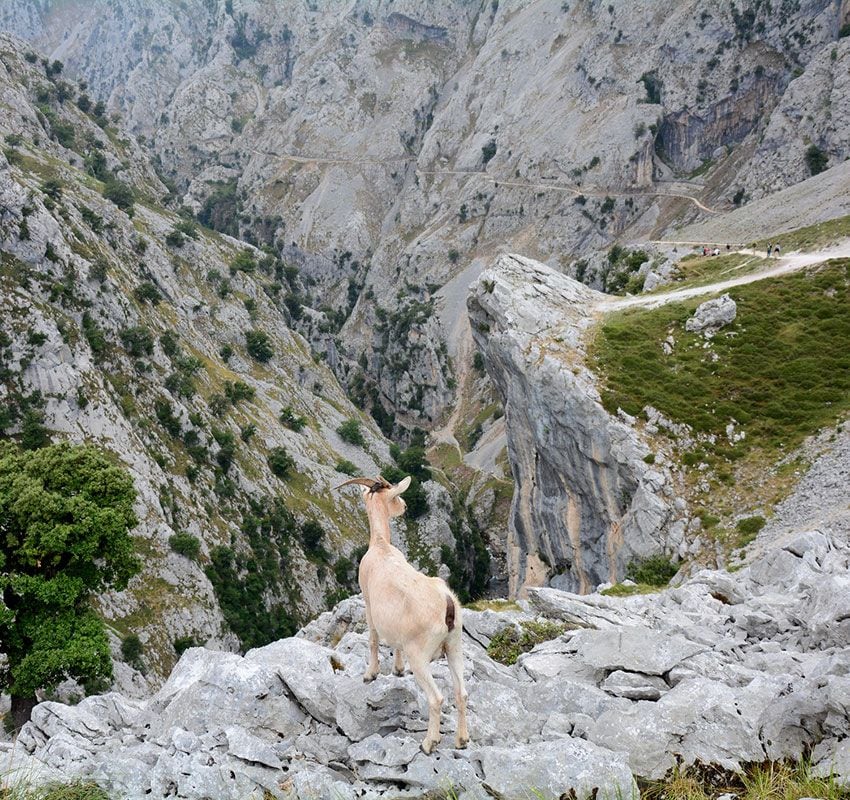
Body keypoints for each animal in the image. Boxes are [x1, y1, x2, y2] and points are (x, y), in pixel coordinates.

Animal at [336, 476, 470, 756]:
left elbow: (373, 639)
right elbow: (393, 642)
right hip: (454, 645)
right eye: (396, 497)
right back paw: (462, 740)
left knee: (436, 698)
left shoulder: (368, 602)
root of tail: (447, 603)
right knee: (461, 692)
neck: (381, 546)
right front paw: (397, 670)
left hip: (419, 655)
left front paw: (371, 674)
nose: (406, 506)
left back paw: (429, 743)